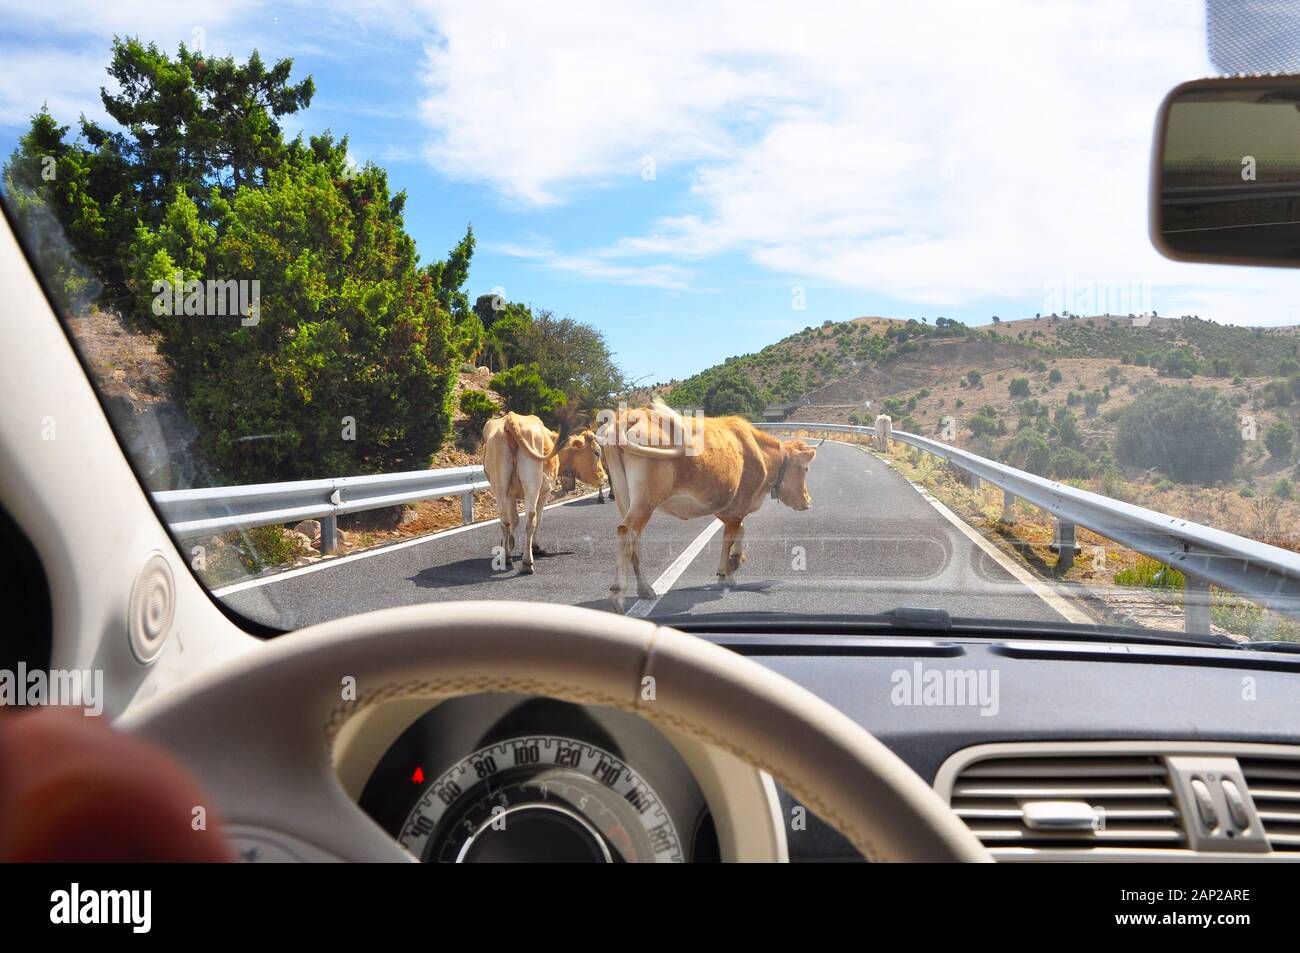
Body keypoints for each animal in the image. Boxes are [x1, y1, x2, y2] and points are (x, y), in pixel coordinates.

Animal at [595, 400, 816, 608]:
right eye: (805, 469)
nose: (808, 501)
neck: (760, 453)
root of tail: (631, 415)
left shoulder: (726, 508)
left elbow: (740, 531)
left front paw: (735, 561)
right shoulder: (738, 506)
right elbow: (729, 538)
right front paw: (726, 574)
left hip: (624, 496)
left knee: (634, 539)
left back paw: (645, 589)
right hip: (646, 499)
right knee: (626, 530)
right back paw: (618, 595)